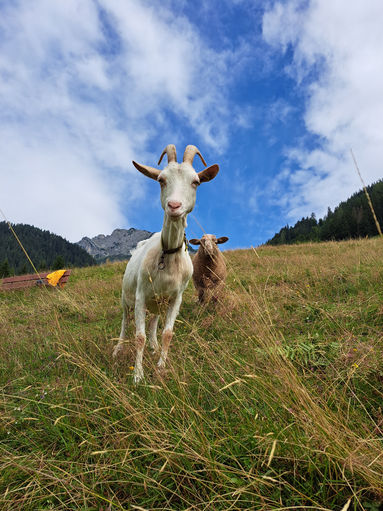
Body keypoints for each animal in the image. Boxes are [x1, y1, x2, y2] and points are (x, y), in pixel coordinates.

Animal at [113, 144, 219, 384]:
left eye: (195, 182)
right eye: (161, 179)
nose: (174, 205)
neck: (167, 254)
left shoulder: (175, 298)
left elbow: (167, 334)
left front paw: (161, 367)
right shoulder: (141, 295)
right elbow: (139, 336)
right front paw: (138, 375)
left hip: (157, 304)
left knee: (153, 323)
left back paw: (154, 348)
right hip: (127, 297)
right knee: (124, 322)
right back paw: (118, 348)